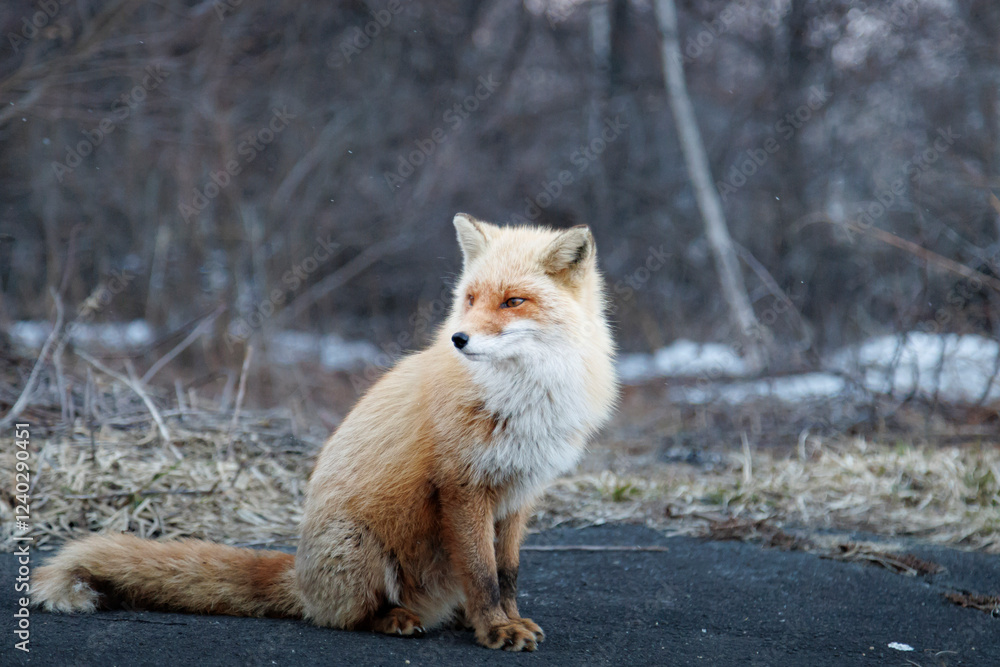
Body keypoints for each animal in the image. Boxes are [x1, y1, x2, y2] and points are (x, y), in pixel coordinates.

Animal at [31, 213, 618, 651]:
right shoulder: (463, 487)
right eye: (471, 298)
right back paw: (396, 619)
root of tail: (301, 576)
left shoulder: (519, 494)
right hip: (361, 550)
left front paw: (505, 620)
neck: (524, 400)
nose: (458, 338)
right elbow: (482, 574)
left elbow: (507, 574)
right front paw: (494, 629)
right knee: (344, 618)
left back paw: (451, 618)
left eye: (513, 301)